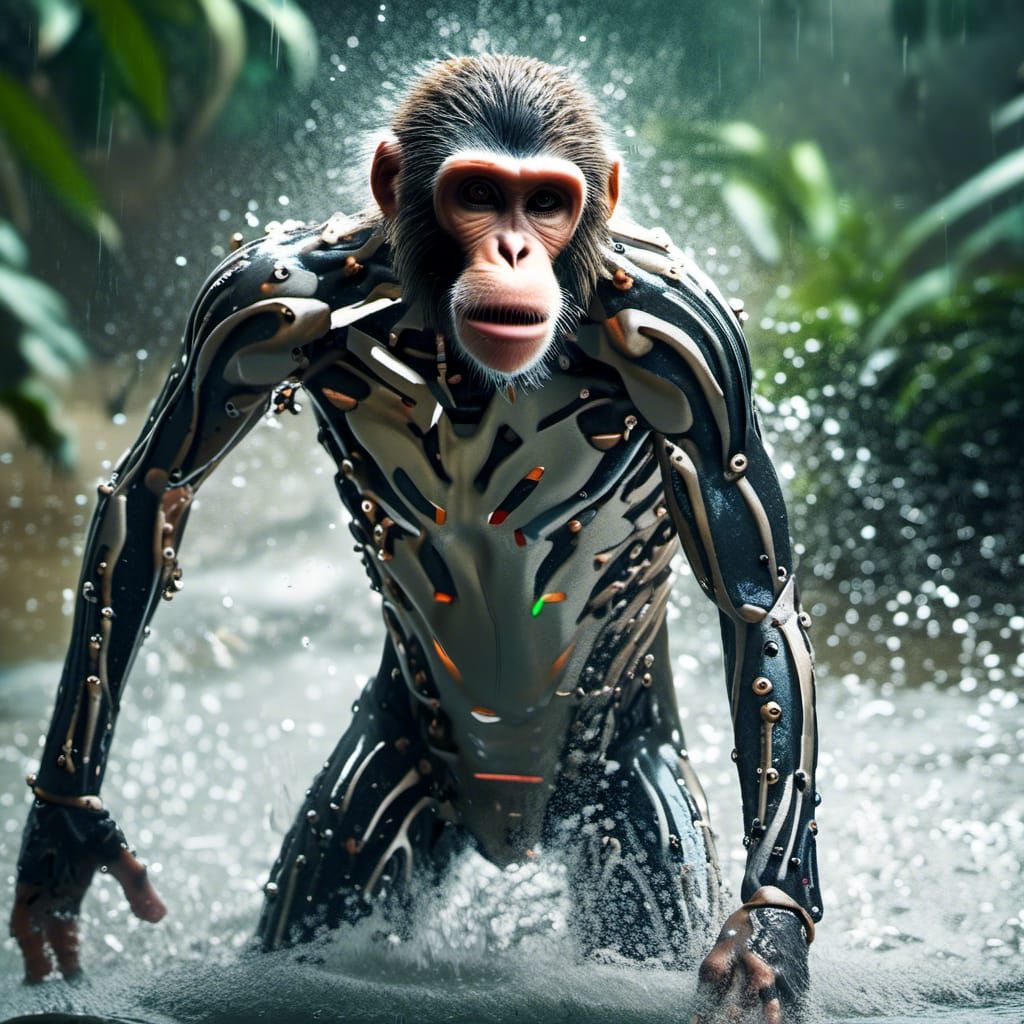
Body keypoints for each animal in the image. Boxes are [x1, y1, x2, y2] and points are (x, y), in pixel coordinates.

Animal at [11, 55, 821, 1022]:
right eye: (477, 194)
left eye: (546, 204)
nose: (513, 252)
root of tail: (510, 836)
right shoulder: (250, 297)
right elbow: (153, 489)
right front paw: (63, 835)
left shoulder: (696, 343)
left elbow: (754, 600)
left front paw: (768, 933)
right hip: (380, 792)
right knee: (330, 873)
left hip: (631, 802)